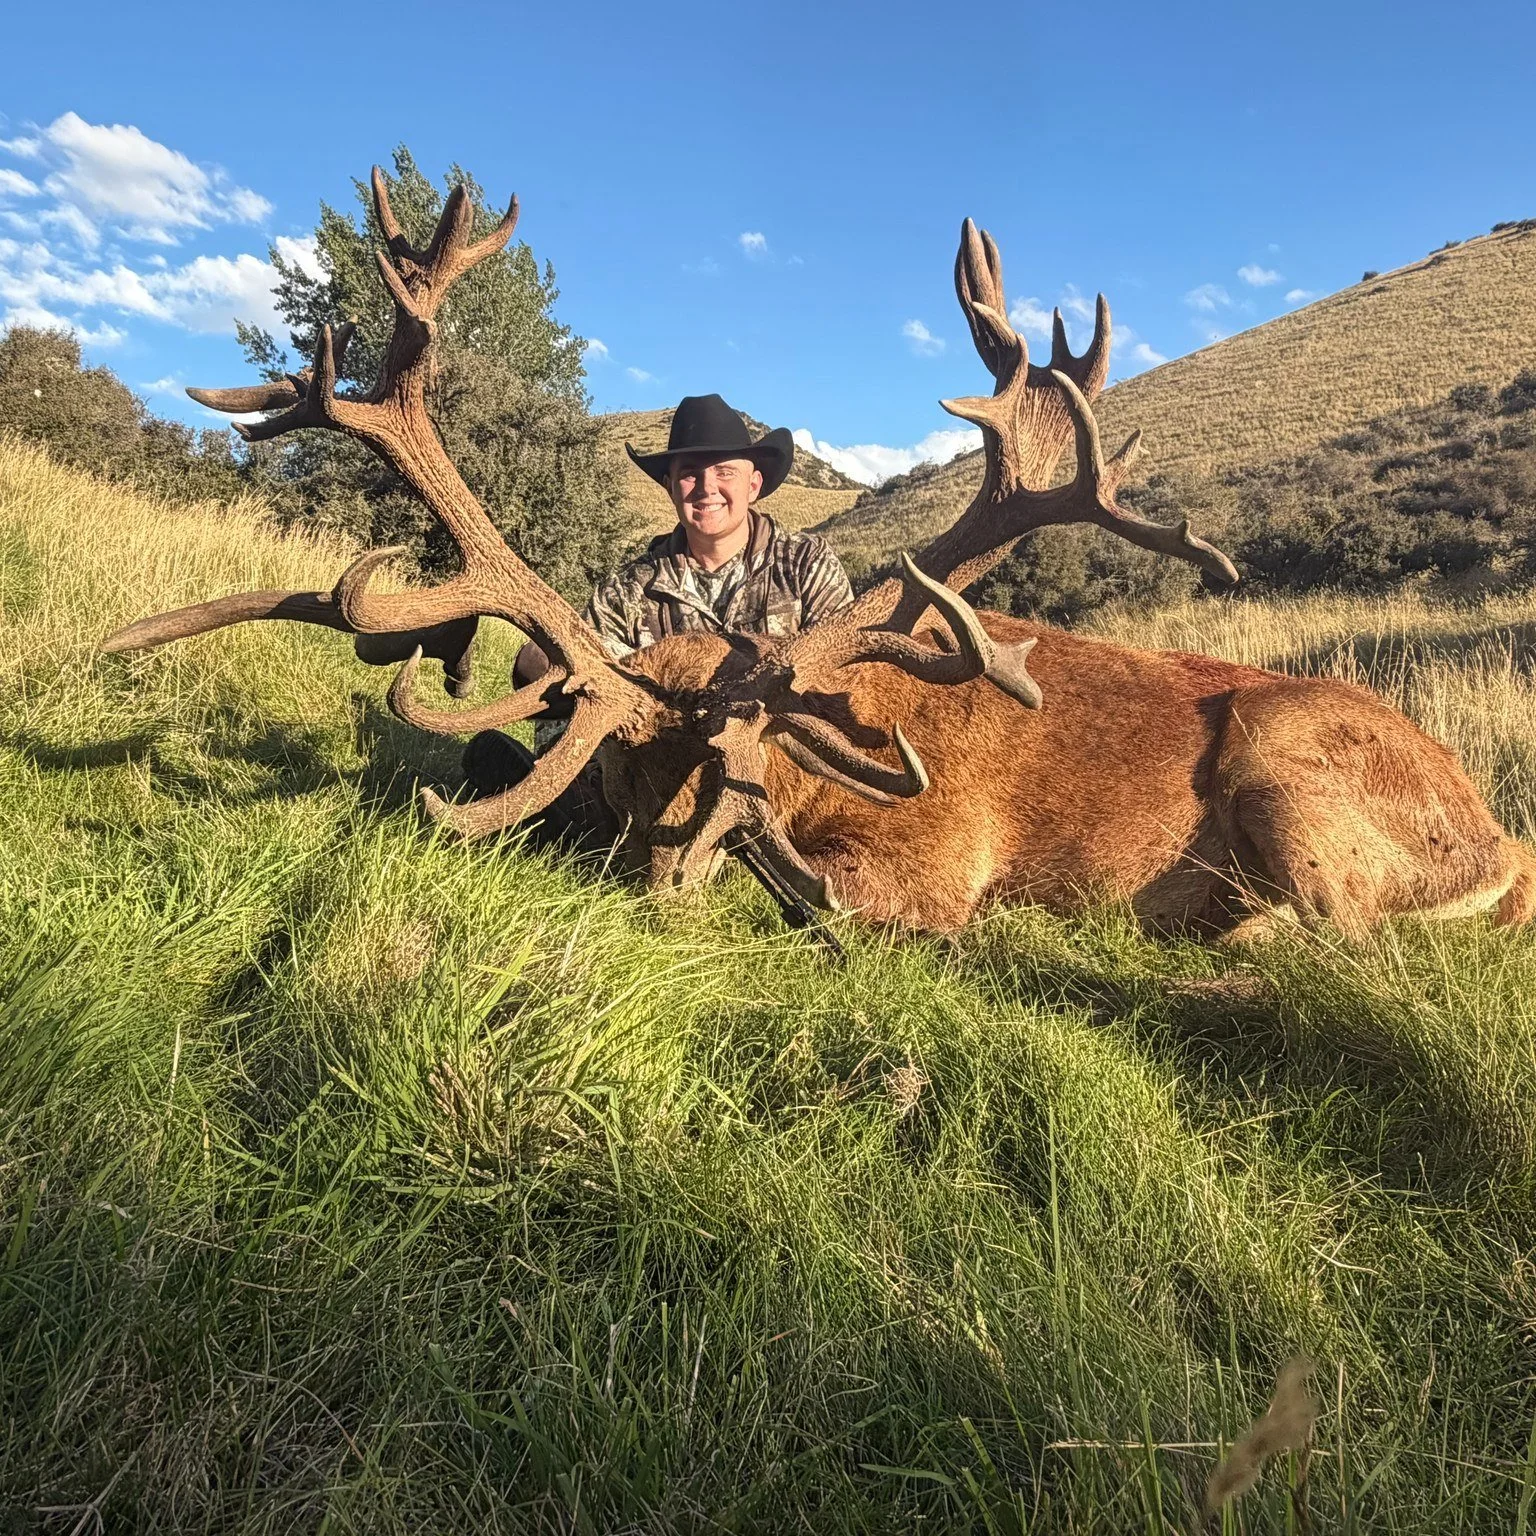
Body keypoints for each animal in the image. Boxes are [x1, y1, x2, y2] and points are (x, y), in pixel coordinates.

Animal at [100, 167, 1536, 943]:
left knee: (1343, 937)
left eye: (725, 781)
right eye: (617, 771)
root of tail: (1499, 845)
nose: (664, 883)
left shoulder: (940, 856)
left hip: (1291, 769)